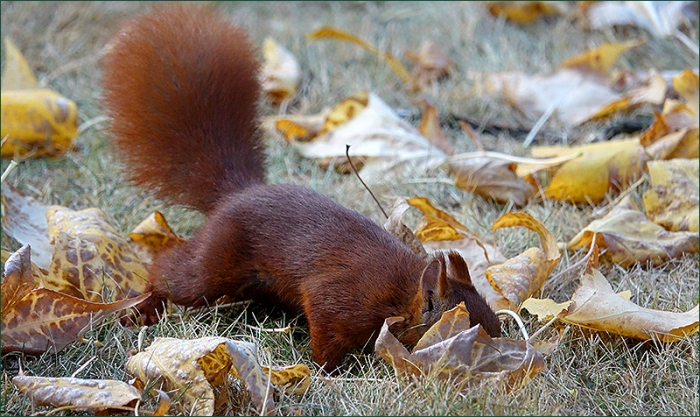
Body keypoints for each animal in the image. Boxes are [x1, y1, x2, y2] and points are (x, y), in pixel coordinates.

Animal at [101, 4, 501, 373]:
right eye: (465, 328)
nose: (499, 346)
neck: (402, 292)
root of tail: (239, 193)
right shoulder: (340, 298)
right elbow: (325, 330)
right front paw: (327, 371)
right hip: (217, 261)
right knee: (172, 272)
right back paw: (147, 305)